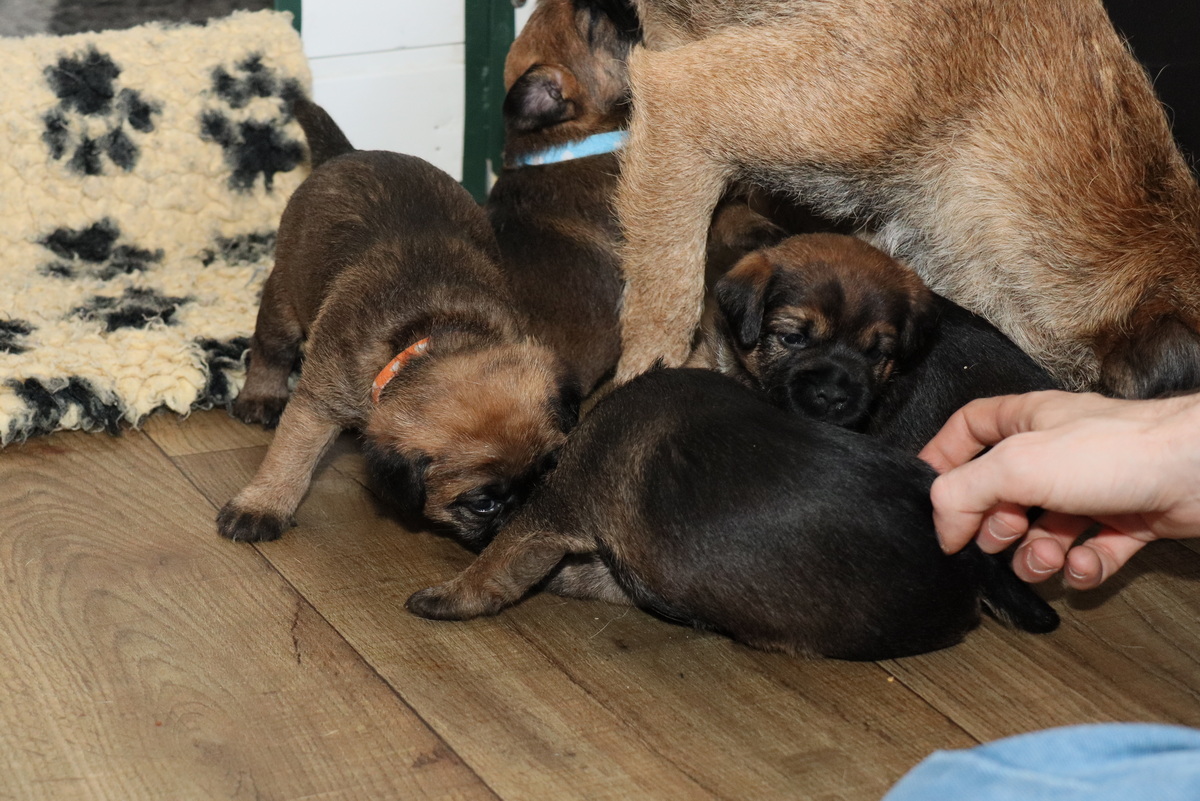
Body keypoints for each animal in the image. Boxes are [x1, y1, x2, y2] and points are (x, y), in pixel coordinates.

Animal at [218, 99, 579, 549]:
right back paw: (260, 397)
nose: (520, 516)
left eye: (547, 469)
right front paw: (262, 505)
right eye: (482, 504)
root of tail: (348, 152)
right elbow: (291, 456)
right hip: (284, 298)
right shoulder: (319, 404)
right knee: (271, 349)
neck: (431, 334)